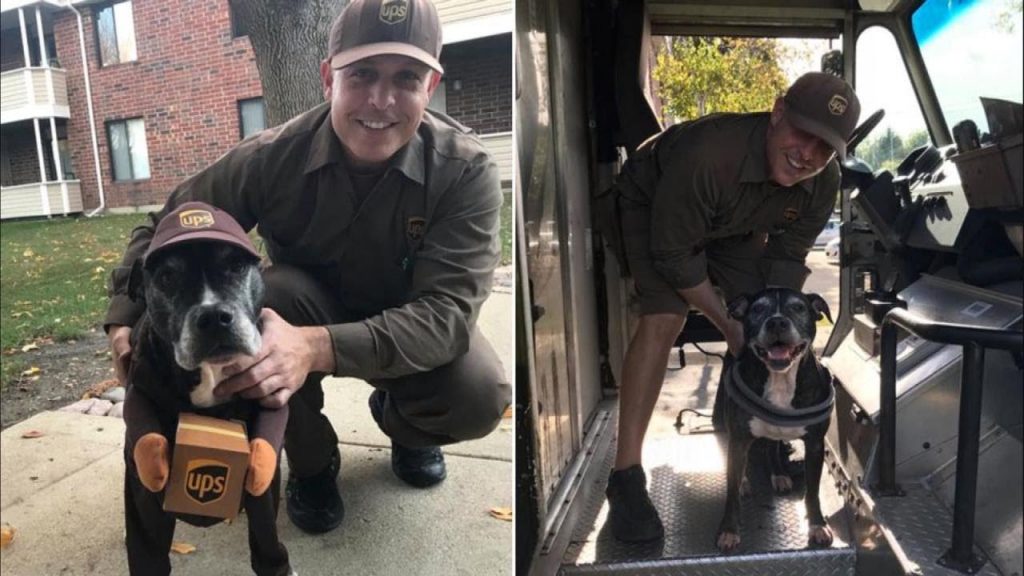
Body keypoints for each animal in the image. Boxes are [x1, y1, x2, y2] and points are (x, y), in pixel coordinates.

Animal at [123, 203, 294, 569]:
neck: (209, 374)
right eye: (166, 277)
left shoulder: (261, 477)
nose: (214, 316)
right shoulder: (144, 488)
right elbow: (146, 550)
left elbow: (266, 537)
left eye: (236, 265)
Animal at [716, 286, 835, 553]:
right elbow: (731, 491)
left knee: (772, 445)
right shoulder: (739, 438)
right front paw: (729, 530)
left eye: (798, 307)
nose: (777, 322)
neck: (781, 379)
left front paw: (817, 525)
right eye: (758, 308)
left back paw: (779, 474)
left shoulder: (815, 445)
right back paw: (746, 480)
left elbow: (813, 491)